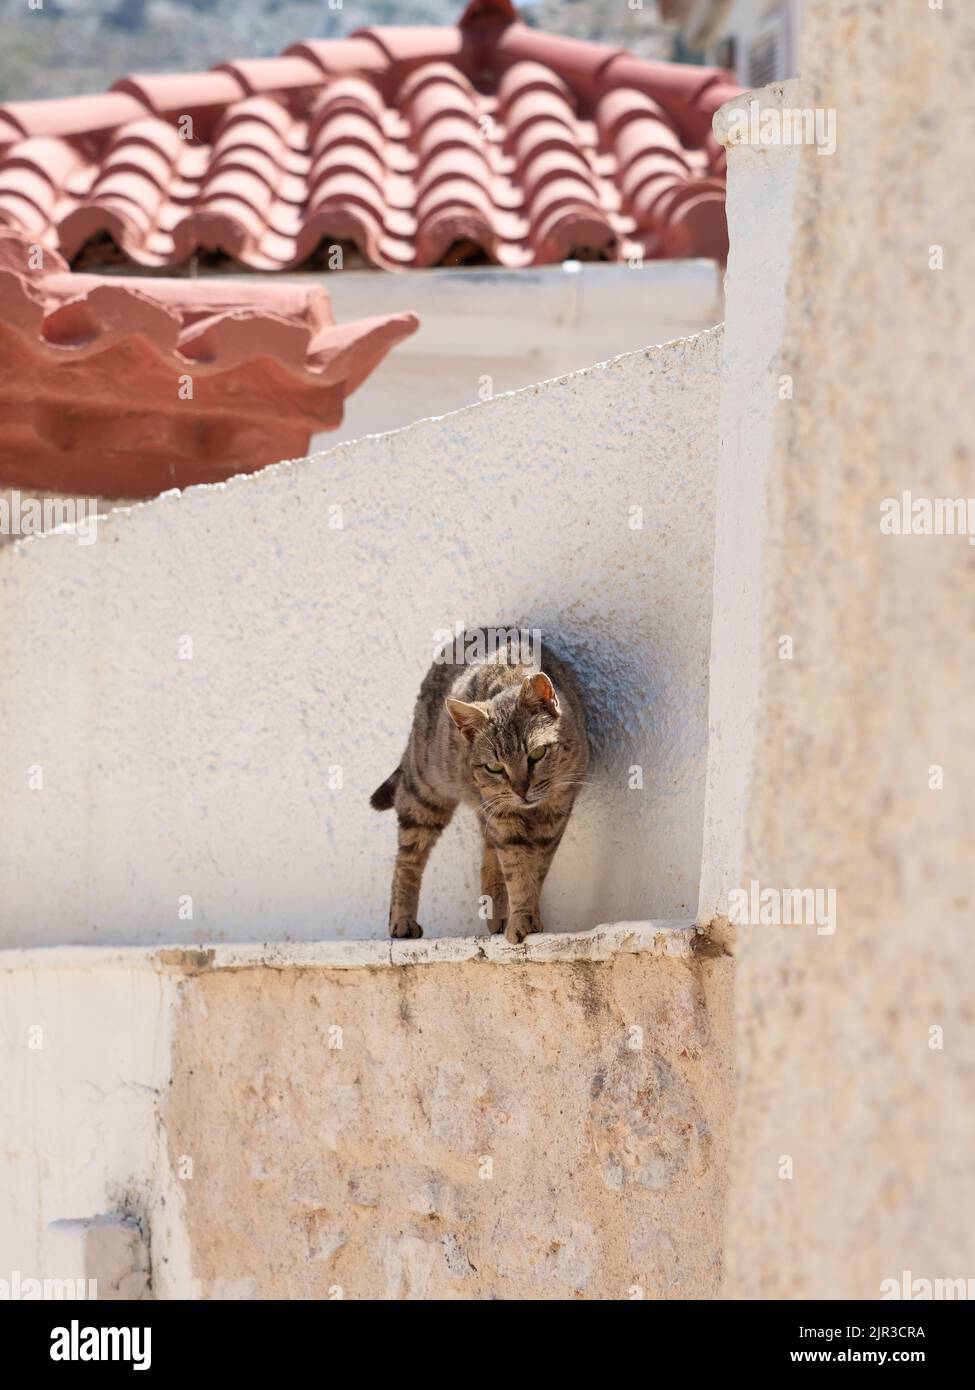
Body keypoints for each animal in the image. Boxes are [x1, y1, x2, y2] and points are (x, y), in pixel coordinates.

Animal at [369, 633, 586, 945]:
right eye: (495, 767)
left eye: (536, 754)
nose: (521, 790)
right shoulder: (504, 814)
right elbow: (517, 868)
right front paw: (522, 918)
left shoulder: (555, 812)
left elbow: (535, 868)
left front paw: (526, 913)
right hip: (424, 793)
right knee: (407, 858)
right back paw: (402, 920)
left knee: (487, 851)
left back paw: (497, 913)